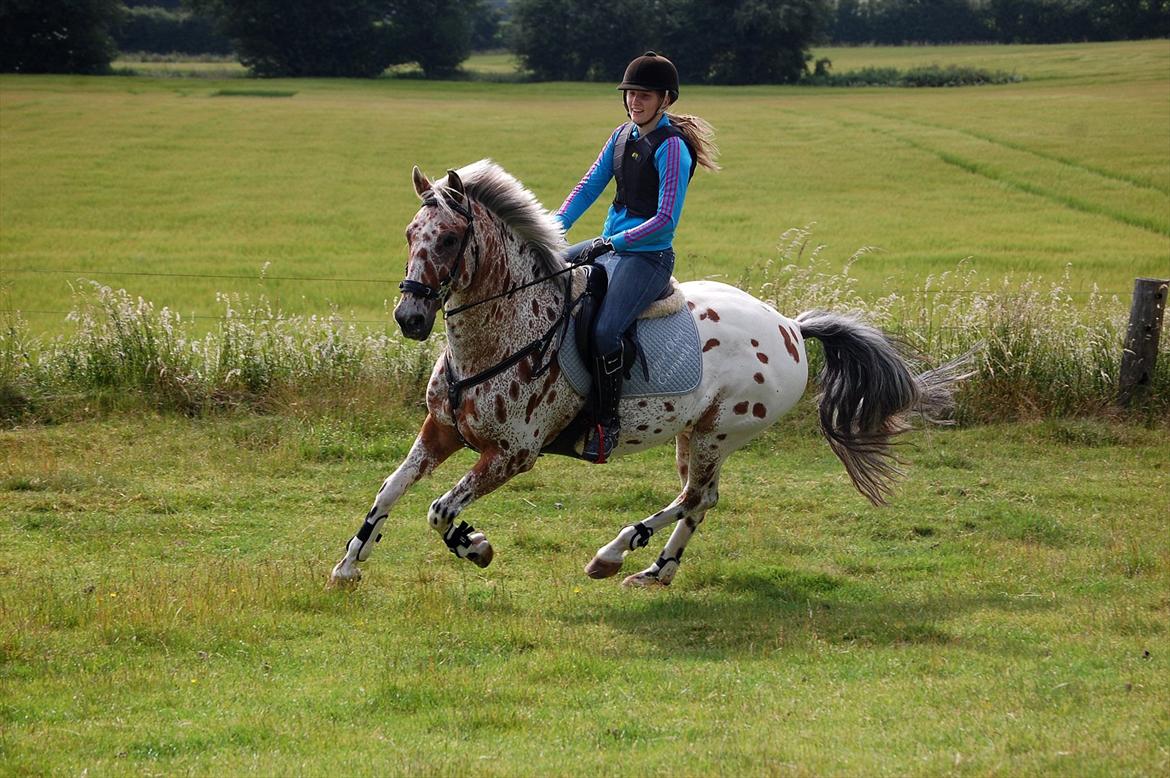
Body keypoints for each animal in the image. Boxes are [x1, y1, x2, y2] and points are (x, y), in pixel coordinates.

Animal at [327, 159, 959, 589]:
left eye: (451, 239)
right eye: (410, 234)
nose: (409, 318)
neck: (497, 337)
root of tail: (790, 327)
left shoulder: (512, 454)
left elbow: (440, 510)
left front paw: (475, 545)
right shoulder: (442, 431)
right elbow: (390, 489)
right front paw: (348, 565)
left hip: (718, 432)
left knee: (697, 496)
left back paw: (613, 555)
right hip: (694, 433)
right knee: (702, 499)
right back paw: (656, 570)